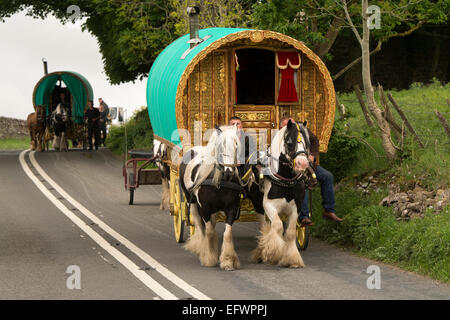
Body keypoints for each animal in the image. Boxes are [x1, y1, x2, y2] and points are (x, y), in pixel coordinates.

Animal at [179, 125, 244, 270]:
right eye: (220, 147)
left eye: (236, 145)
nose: (228, 172)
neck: (220, 182)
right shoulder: (205, 209)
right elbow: (207, 231)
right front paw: (208, 258)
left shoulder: (232, 208)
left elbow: (227, 233)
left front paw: (228, 260)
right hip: (192, 202)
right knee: (200, 226)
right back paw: (201, 248)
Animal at [253, 120, 312, 268]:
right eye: (290, 142)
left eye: (308, 142)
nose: (303, 163)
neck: (285, 180)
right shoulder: (268, 205)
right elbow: (278, 225)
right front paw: (273, 252)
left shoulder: (296, 208)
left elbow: (290, 232)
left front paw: (292, 259)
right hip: (258, 204)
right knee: (264, 225)